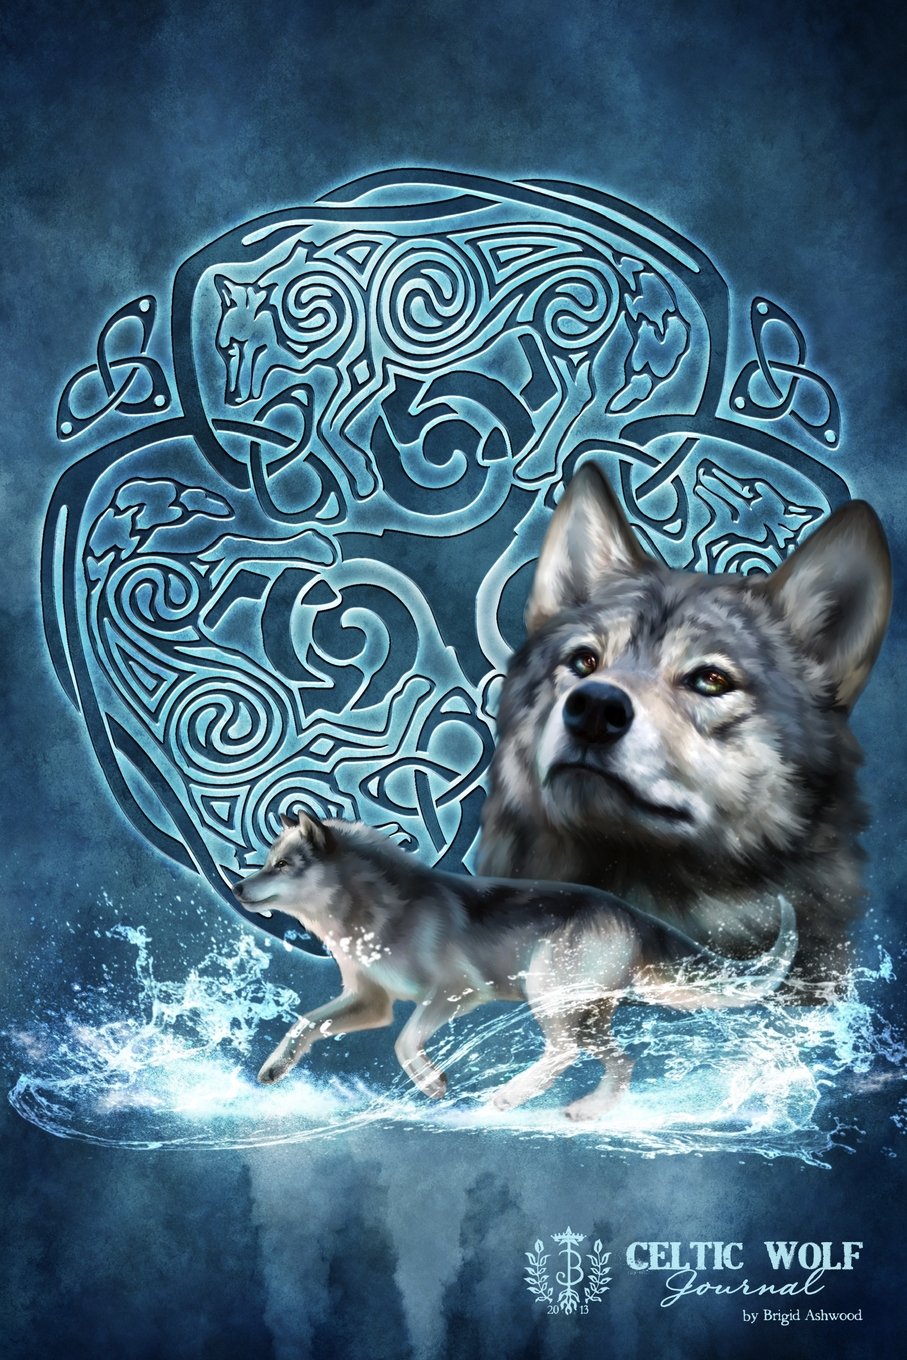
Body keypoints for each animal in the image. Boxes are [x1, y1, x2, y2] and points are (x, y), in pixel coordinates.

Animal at [234, 812, 795, 1118]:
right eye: (267, 860)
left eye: (280, 865)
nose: (238, 887)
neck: (371, 917)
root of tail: (630, 912)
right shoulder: (371, 1002)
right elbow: (306, 1022)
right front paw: (273, 1069)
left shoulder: (454, 994)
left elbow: (403, 1042)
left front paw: (432, 1084)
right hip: (584, 1014)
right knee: (620, 1061)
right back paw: (586, 1111)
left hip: (549, 998)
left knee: (567, 1053)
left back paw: (507, 1096)